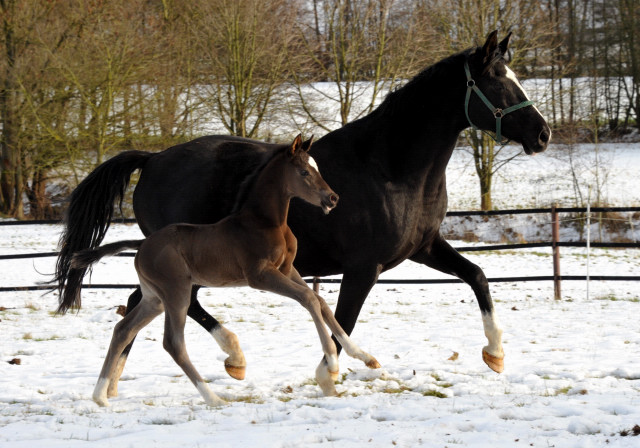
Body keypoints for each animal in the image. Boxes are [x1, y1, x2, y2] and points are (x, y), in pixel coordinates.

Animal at [72, 136, 380, 406]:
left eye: (317, 168)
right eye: (304, 171)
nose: (332, 198)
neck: (265, 222)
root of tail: (142, 244)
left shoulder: (287, 269)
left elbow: (321, 302)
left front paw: (364, 357)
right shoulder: (260, 276)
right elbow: (309, 300)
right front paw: (332, 363)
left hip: (154, 298)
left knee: (123, 329)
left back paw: (100, 396)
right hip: (176, 293)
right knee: (173, 343)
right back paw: (214, 398)